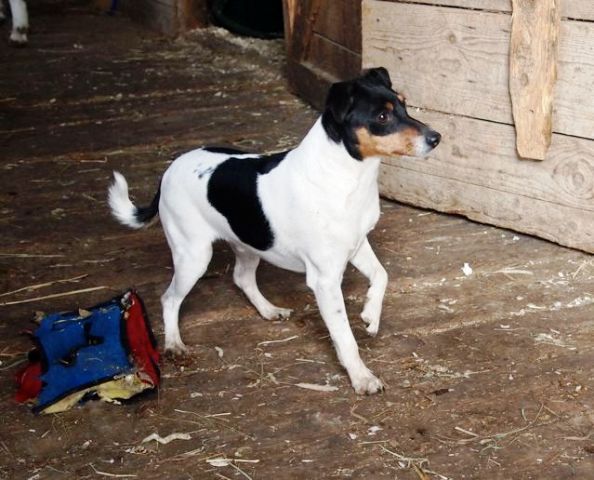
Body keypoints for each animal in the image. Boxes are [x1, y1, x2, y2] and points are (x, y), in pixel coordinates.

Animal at [108, 68, 438, 398]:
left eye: (404, 104)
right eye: (382, 116)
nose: (436, 138)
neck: (346, 177)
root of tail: (167, 172)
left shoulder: (356, 246)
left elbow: (382, 275)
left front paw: (371, 316)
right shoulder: (325, 279)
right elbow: (345, 336)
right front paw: (361, 377)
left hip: (248, 244)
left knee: (241, 278)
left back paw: (268, 310)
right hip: (194, 256)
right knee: (170, 298)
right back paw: (175, 343)